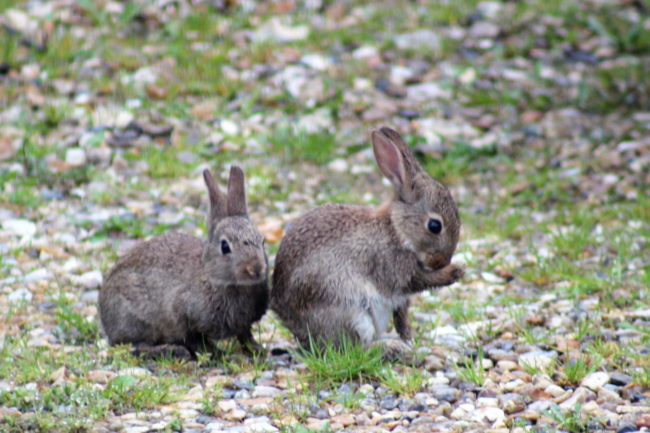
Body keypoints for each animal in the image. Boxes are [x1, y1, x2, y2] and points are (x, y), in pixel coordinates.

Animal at [99, 166, 269, 359]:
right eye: (225, 246)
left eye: (262, 241)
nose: (256, 269)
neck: (213, 278)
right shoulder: (183, 316)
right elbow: (196, 339)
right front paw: (219, 354)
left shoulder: (243, 324)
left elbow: (245, 335)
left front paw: (257, 349)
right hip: (135, 321)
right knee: (133, 347)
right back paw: (172, 350)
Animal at [271, 127, 463, 356]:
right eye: (434, 226)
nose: (442, 261)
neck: (396, 229)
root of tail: (293, 326)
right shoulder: (393, 268)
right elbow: (420, 281)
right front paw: (455, 271)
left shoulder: (400, 298)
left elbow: (402, 315)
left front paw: (409, 337)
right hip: (352, 311)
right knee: (351, 349)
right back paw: (389, 347)